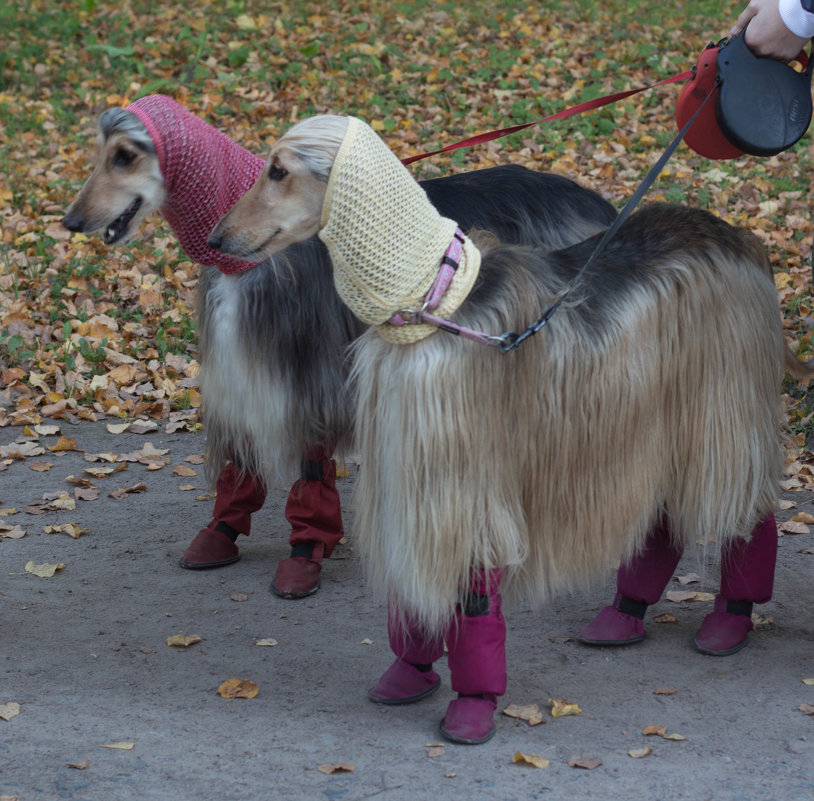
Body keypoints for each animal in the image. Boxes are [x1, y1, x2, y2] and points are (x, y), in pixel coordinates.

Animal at [210, 112, 796, 744]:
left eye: (278, 170)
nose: (217, 240)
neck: (437, 298)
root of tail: (739, 236)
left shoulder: (467, 460)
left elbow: (472, 587)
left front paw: (474, 703)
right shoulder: (410, 451)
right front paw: (410, 669)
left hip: (721, 398)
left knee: (748, 502)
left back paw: (730, 621)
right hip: (656, 407)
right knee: (662, 515)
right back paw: (625, 613)